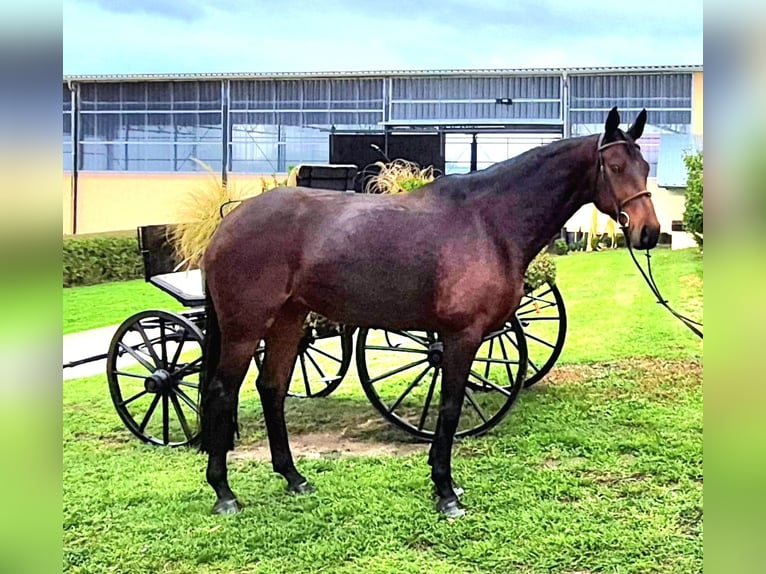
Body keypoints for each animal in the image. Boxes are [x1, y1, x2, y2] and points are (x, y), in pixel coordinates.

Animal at [199, 107, 660, 519]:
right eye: (615, 166)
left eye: (645, 166)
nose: (649, 232)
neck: (488, 222)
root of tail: (228, 225)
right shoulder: (461, 337)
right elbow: (451, 407)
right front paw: (445, 491)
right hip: (245, 329)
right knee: (223, 391)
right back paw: (223, 493)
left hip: (287, 321)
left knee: (271, 388)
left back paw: (293, 477)